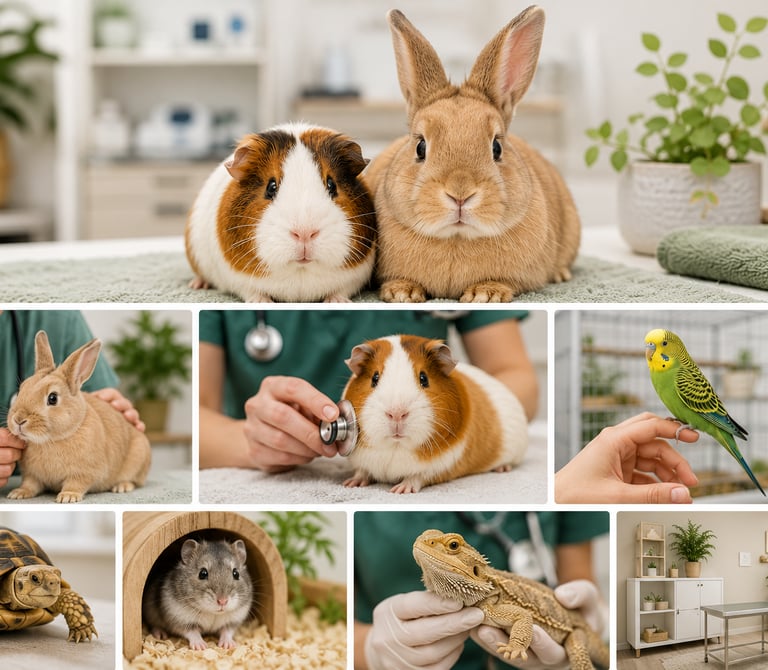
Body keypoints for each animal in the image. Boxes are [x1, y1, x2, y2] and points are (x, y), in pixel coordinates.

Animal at [364, 6, 580, 302]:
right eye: (420, 147)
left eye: (496, 147)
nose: (460, 194)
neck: (456, 238)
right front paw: (402, 292)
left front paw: (485, 295)